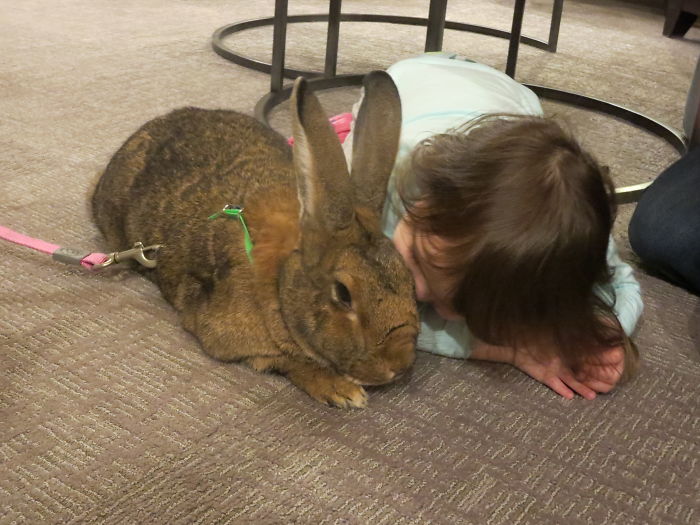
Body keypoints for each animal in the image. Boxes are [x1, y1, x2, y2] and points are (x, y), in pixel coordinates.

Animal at [91, 71, 418, 408]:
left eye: (408, 278)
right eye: (343, 293)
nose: (398, 365)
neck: (280, 281)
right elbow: (290, 362)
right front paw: (341, 391)